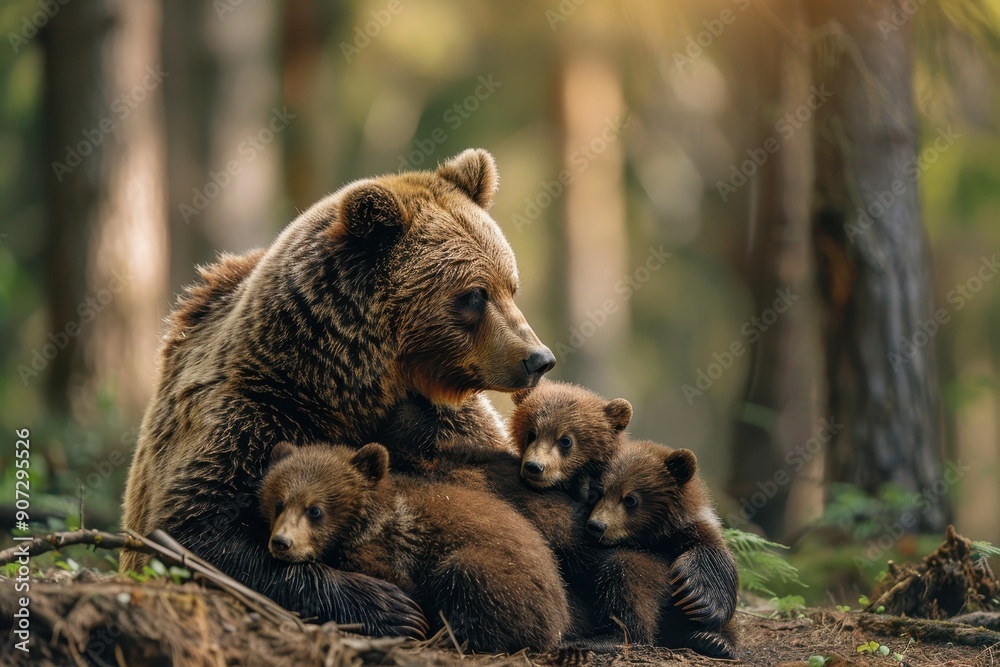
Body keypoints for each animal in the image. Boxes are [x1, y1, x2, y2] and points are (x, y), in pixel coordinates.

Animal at [120, 149, 557, 638]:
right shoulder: (254, 411)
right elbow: (193, 529)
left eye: (510, 285)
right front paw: (390, 606)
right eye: (474, 294)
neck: (349, 384)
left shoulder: (444, 422)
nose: (538, 358)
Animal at [259, 441, 572, 652]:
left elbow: (402, 582)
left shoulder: (395, 550)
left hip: (498, 575)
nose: (281, 543)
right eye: (279, 502)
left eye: (315, 510)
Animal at [587, 440, 739, 658]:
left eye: (630, 499)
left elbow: (712, 558)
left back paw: (713, 641)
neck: (654, 538)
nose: (597, 526)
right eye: (599, 491)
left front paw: (699, 599)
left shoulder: (694, 532)